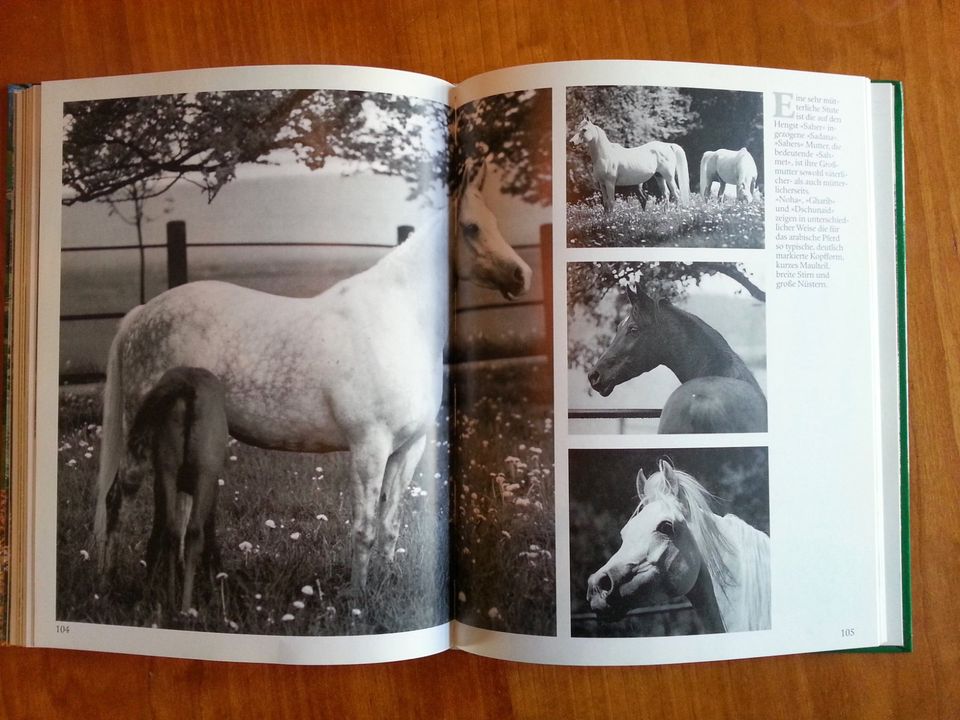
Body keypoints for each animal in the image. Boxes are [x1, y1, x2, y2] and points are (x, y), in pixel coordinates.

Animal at [124, 366, 229, 612]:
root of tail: (188, 386)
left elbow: (158, 537)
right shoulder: (210, 488)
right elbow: (208, 538)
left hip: (167, 471)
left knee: (170, 531)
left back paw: (170, 602)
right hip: (204, 475)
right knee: (193, 532)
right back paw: (184, 607)